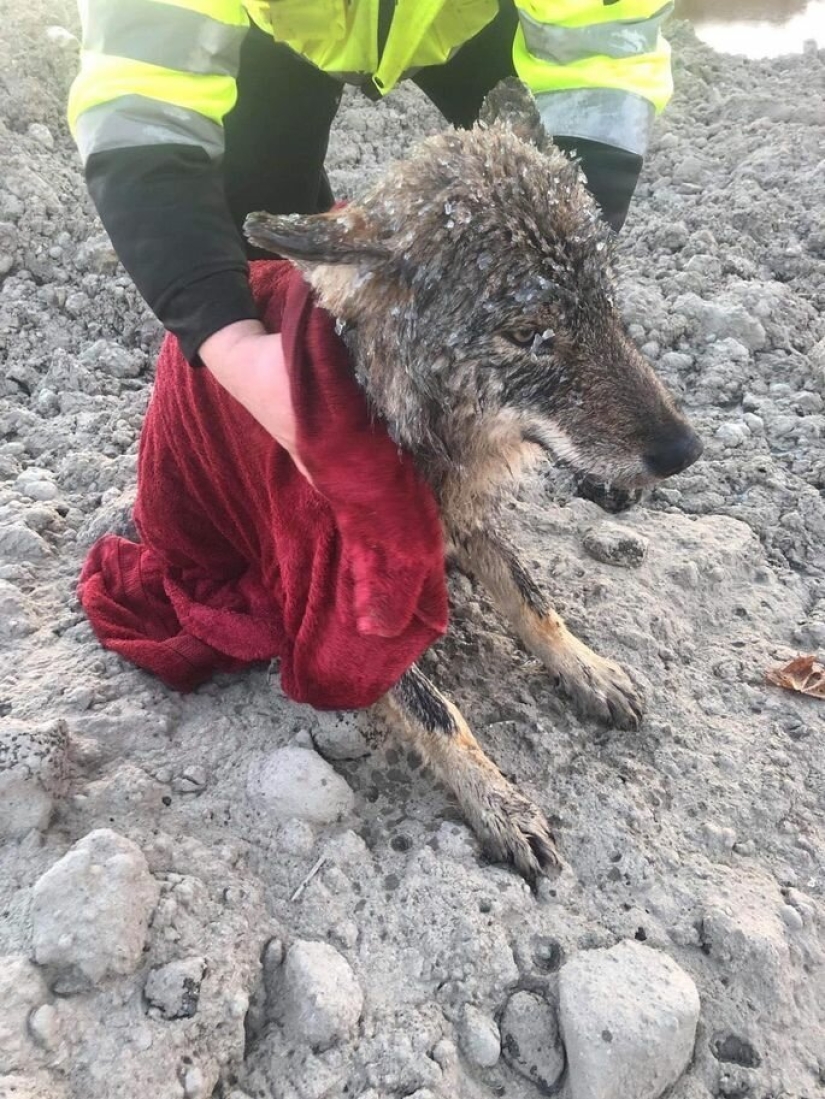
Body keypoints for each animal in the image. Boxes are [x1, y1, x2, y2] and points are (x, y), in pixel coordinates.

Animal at [244, 80, 702, 882]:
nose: (686, 449)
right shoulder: (335, 610)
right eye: (527, 334)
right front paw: (500, 803)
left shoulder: (469, 516)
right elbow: (434, 708)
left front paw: (587, 667)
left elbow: (532, 599)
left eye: (607, 302)